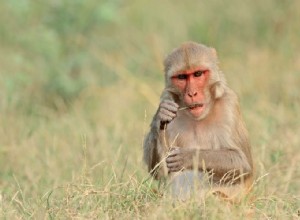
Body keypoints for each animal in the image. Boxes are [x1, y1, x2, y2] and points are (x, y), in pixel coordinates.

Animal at [143, 41, 253, 201]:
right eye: (182, 77)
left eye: (198, 74)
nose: (192, 93)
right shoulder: (167, 98)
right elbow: (160, 171)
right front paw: (161, 115)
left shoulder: (229, 105)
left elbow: (242, 163)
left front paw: (188, 156)